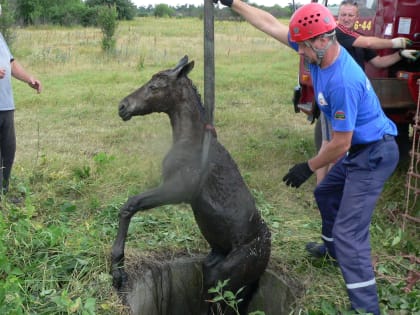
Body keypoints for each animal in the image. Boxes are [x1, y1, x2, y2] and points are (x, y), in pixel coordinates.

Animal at [110, 56, 270, 315]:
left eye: (155, 86)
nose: (123, 106)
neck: (190, 140)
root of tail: (264, 260)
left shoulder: (178, 189)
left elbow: (129, 205)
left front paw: (117, 271)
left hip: (226, 277)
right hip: (217, 271)